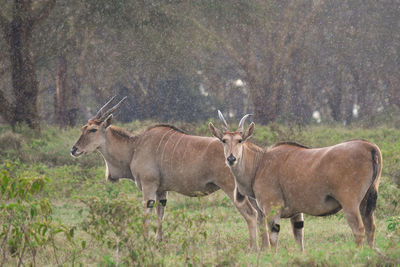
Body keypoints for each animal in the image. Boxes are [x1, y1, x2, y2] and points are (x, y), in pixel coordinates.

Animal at [71, 97, 268, 250]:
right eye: (83, 128)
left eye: (93, 130)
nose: (74, 149)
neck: (135, 146)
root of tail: (250, 148)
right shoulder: (161, 190)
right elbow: (160, 213)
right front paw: (158, 241)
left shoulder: (149, 187)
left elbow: (147, 213)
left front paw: (144, 241)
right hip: (248, 192)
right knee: (261, 214)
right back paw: (266, 247)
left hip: (232, 189)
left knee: (251, 214)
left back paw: (253, 248)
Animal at [209, 112, 382, 252]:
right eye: (223, 140)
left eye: (240, 140)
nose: (231, 158)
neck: (260, 162)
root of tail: (370, 147)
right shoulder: (297, 213)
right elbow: (299, 239)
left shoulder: (272, 208)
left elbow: (273, 238)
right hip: (366, 202)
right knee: (370, 227)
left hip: (350, 204)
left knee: (359, 230)